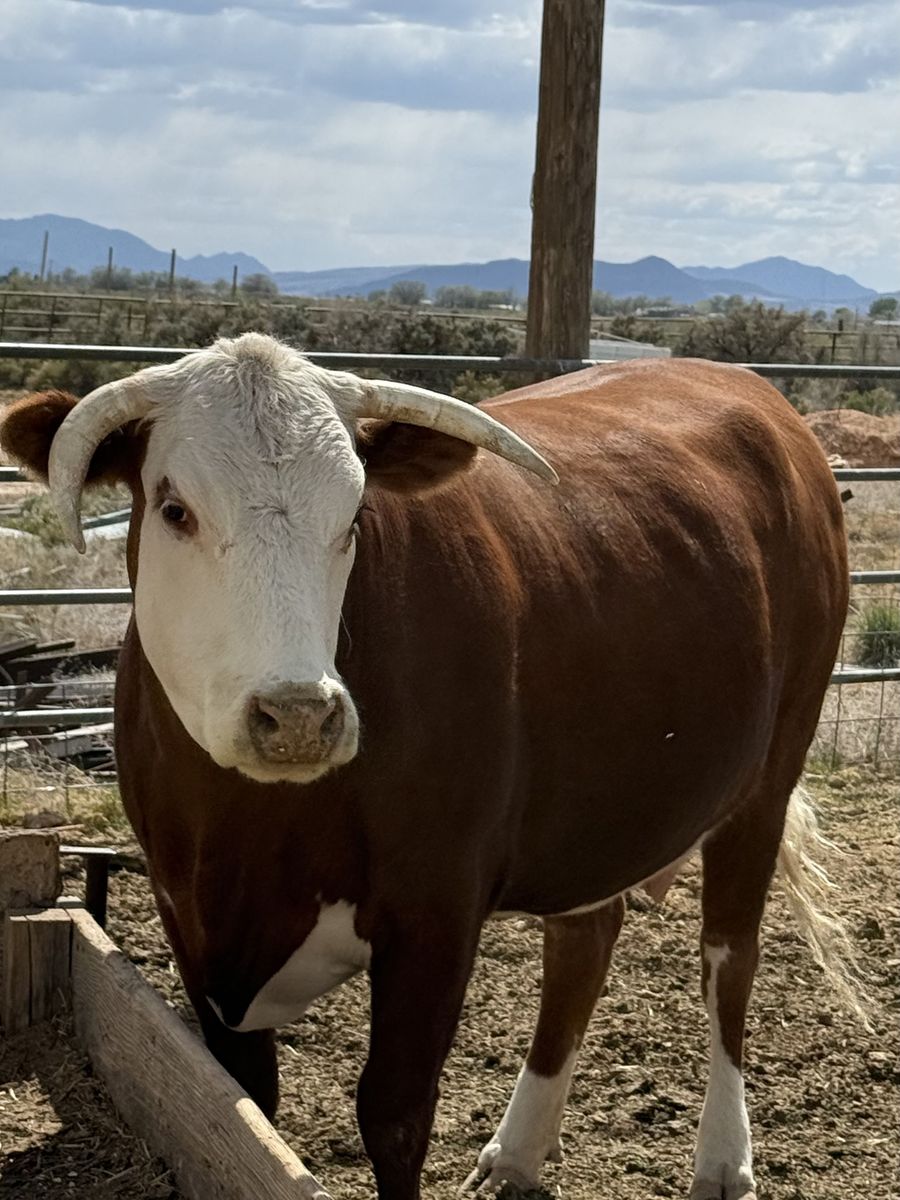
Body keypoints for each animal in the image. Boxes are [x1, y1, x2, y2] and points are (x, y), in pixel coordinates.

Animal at [1, 334, 854, 1200]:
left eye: (353, 517)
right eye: (175, 508)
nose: (299, 716)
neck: (255, 825)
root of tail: (754, 394)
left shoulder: (435, 911)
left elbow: (395, 1115)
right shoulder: (190, 915)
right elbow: (243, 1107)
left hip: (769, 777)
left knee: (729, 958)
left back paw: (722, 1159)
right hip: (599, 810)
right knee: (583, 940)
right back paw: (518, 1150)